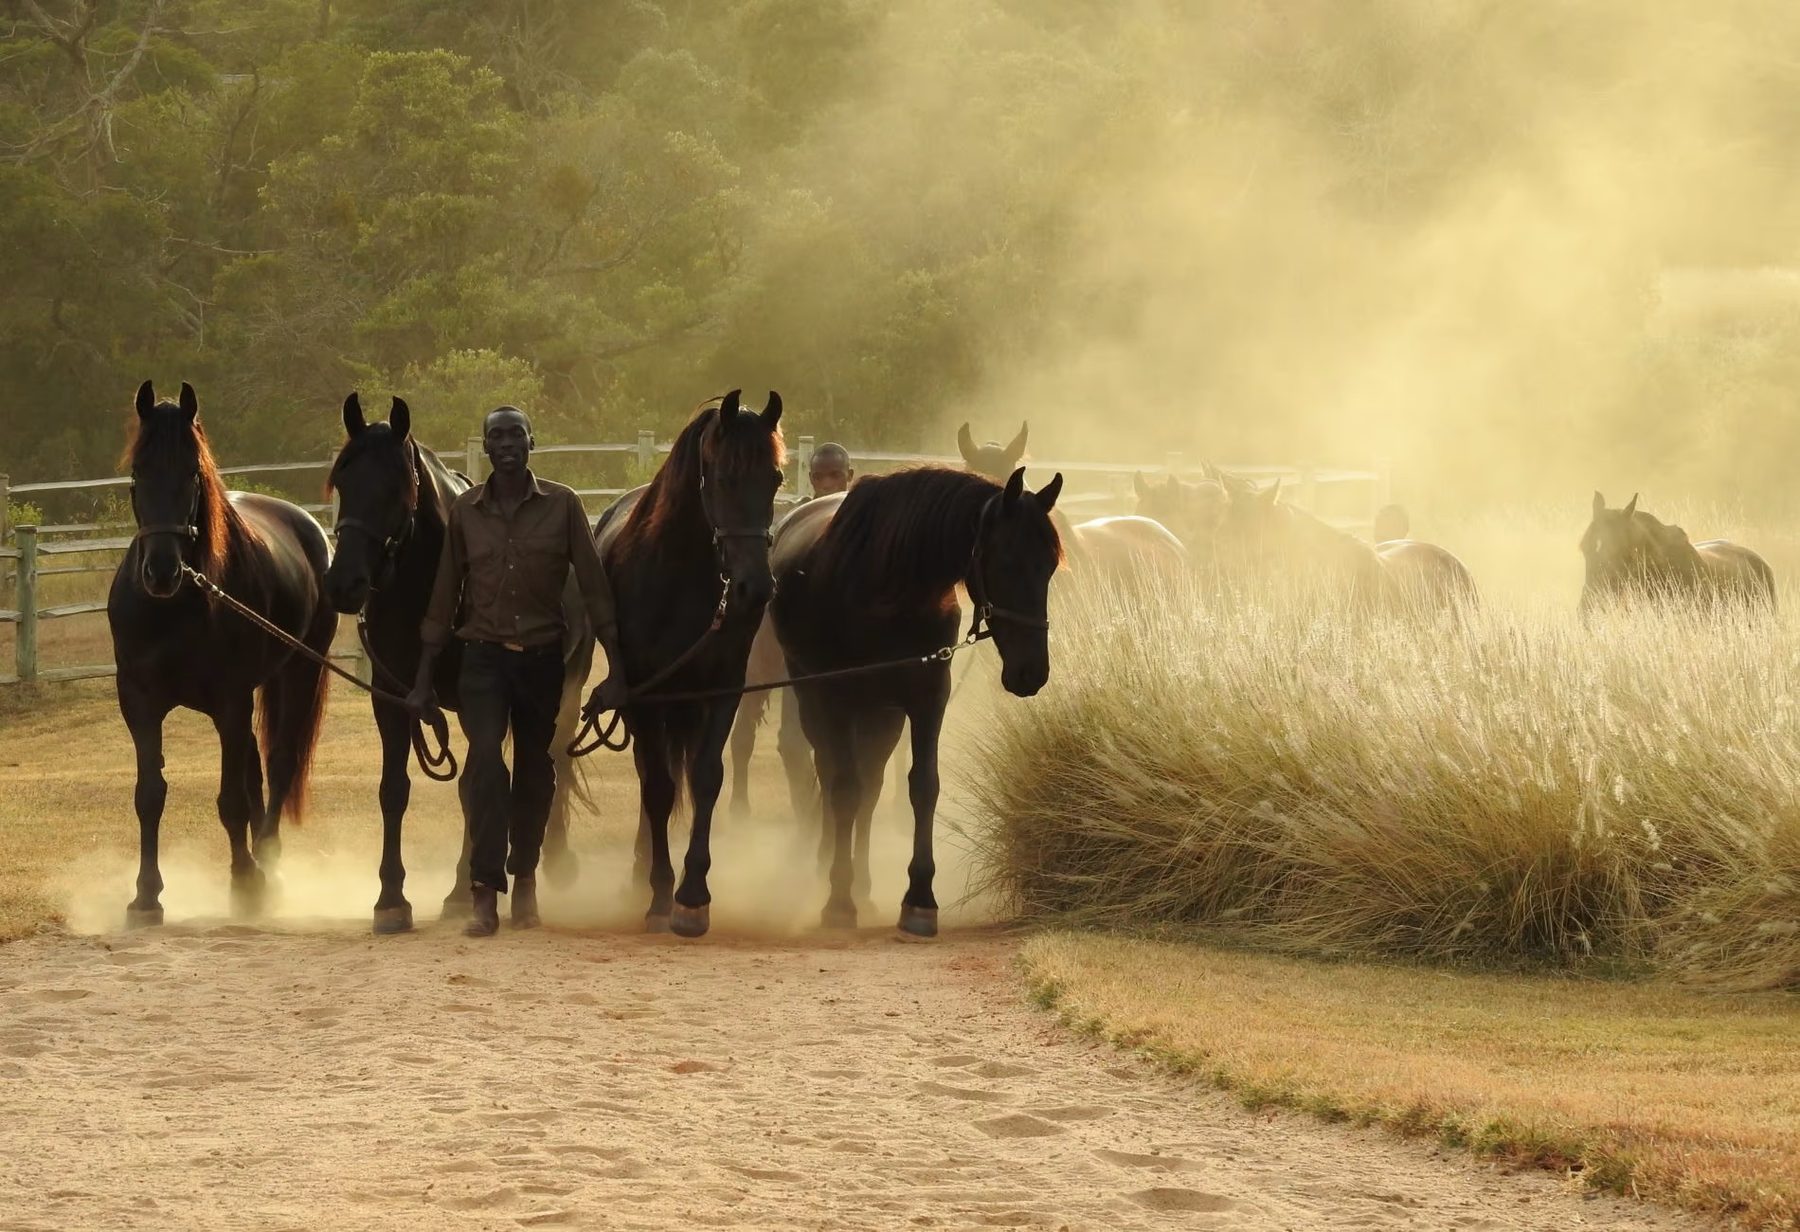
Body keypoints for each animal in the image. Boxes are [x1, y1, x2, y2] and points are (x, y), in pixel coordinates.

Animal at [109, 380, 337, 927]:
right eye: (138, 472)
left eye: (192, 472)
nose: (162, 571)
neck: (175, 609)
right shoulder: (139, 704)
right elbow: (150, 795)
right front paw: (145, 896)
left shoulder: (231, 700)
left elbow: (231, 799)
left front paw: (246, 886)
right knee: (255, 766)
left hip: (298, 672)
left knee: (278, 762)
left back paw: (268, 866)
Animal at [594, 390, 785, 938]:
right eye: (723, 478)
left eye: (776, 479)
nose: (754, 588)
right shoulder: (644, 694)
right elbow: (658, 788)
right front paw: (661, 895)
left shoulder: (721, 690)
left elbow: (705, 779)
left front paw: (693, 896)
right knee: (648, 777)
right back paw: (641, 875)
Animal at [770, 465, 1064, 936]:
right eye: (1005, 563)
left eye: (1050, 566)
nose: (1030, 673)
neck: (882, 589)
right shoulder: (836, 701)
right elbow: (843, 789)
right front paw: (838, 901)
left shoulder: (927, 698)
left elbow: (923, 786)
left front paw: (920, 898)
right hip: (816, 702)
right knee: (835, 776)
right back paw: (831, 870)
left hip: (882, 715)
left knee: (871, 785)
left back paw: (864, 886)